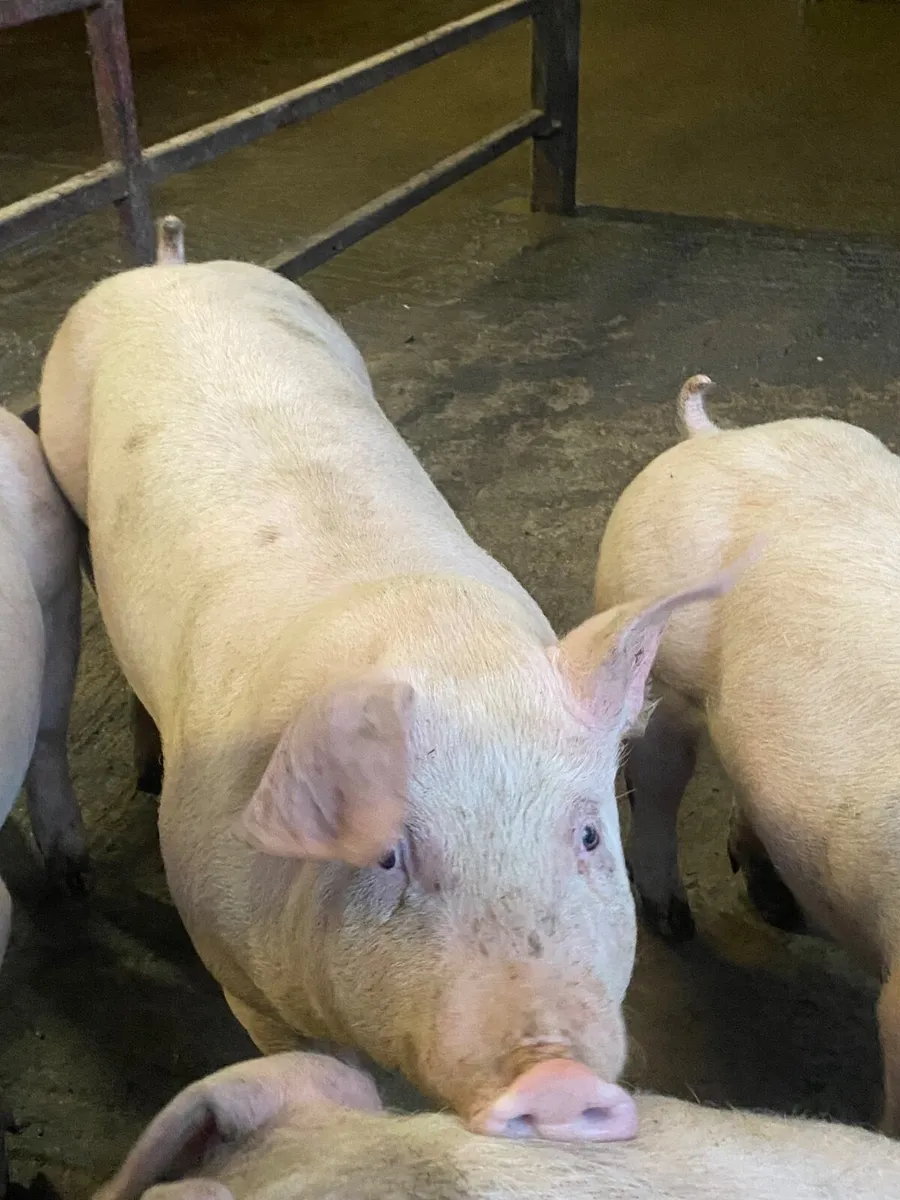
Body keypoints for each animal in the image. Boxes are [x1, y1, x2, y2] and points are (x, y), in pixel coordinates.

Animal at [36, 234, 747, 1140]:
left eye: (589, 835)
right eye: (384, 855)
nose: (553, 1077)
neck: (430, 643)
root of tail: (168, 266)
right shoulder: (242, 976)